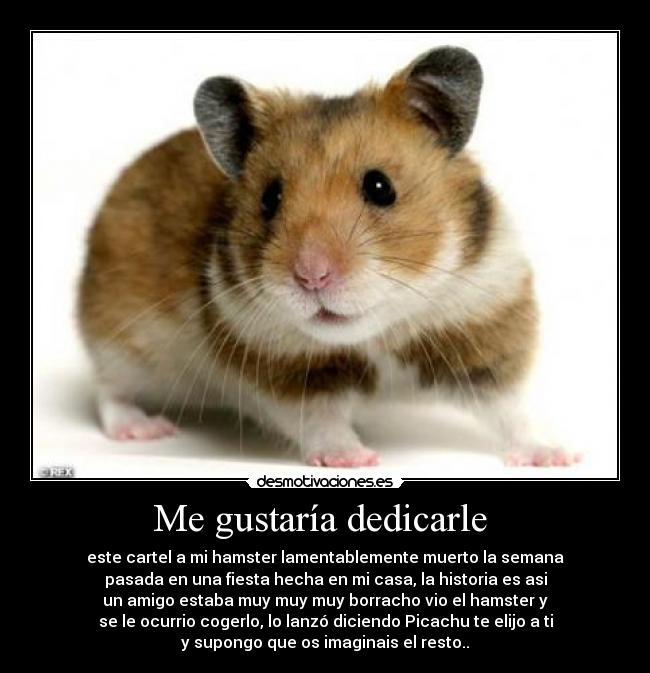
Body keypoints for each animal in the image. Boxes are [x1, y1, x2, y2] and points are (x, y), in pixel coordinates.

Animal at [78, 46, 579, 468]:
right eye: (270, 198)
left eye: (380, 187)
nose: (311, 277)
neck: (377, 334)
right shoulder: (286, 372)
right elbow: (320, 420)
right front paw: (356, 461)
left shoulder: (483, 331)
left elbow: (513, 408)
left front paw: (559, 457)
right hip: (119, 338)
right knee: (108, 391)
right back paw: (144, 429)